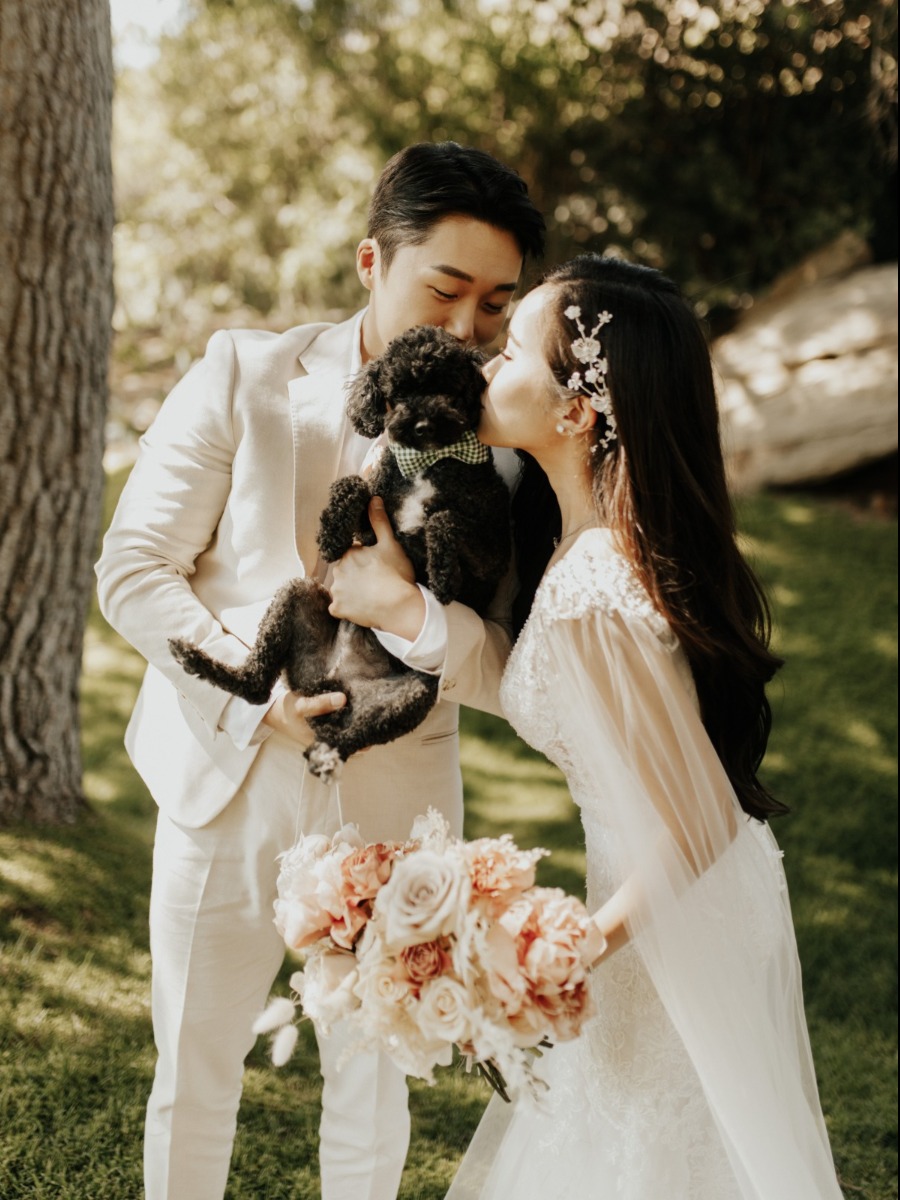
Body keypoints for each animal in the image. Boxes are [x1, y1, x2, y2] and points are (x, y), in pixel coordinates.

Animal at [169, 324, 508, 782]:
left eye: (449, 387)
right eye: (397, 393)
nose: (421, 425)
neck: (427, 463)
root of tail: (334, 680)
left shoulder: (493, 554)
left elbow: (445, 518)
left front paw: (441, 576)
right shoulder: (372, 524)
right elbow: (354, 484)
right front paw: (330, 533)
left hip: (411, 697)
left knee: (347, 736)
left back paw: (326, 755)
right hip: (296, 594)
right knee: (256, 688)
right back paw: (195, 659)